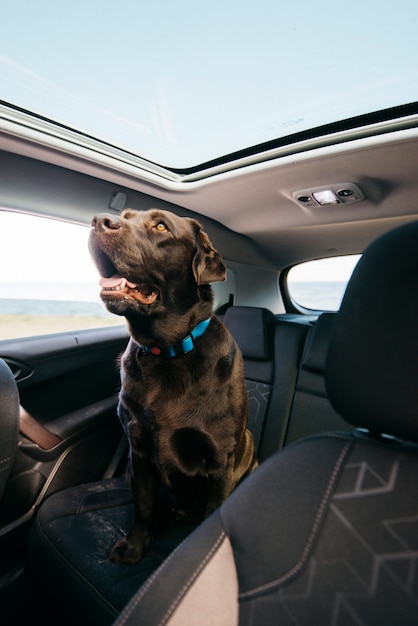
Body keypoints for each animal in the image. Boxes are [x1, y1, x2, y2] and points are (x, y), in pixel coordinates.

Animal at [90, 208, 256, 560]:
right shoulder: (138, 450)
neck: (167, 352)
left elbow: (211, 513)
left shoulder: (219, 462)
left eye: (161, 226)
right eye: (125, 215)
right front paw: (135, 546)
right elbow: (144, 506)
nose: (99, 221)